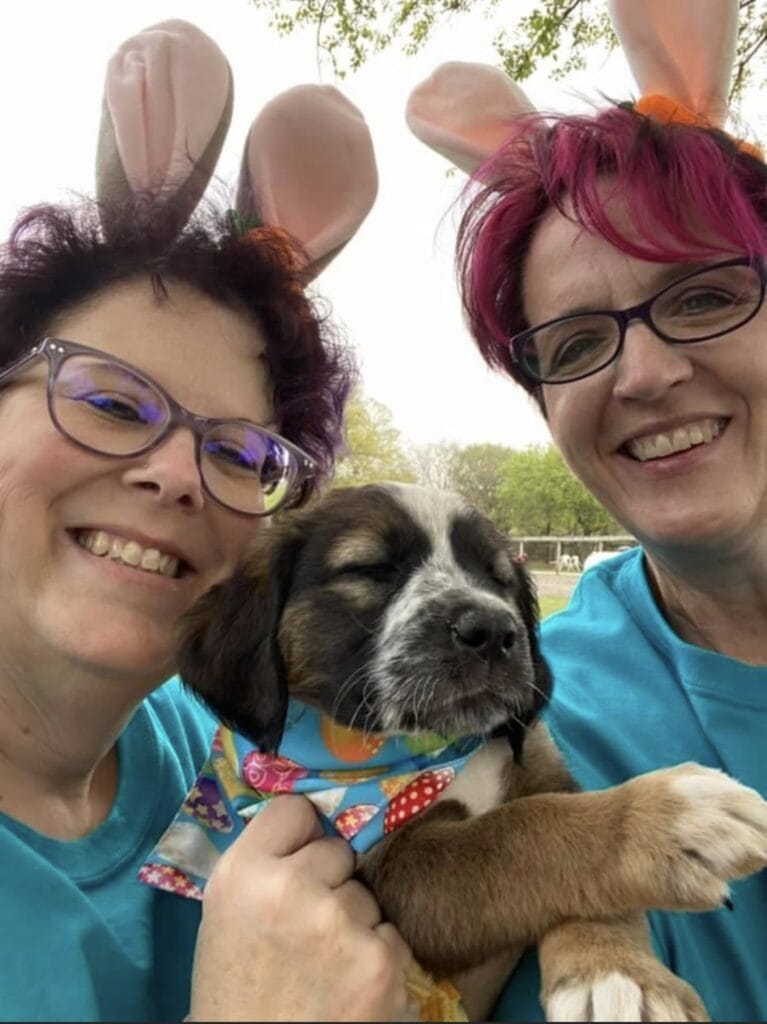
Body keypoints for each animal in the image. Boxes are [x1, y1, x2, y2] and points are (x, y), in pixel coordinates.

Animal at [176, 483, 765, 1019]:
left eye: (499, 578)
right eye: (371, 569)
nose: (495, 630)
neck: (437, 748)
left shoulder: (541, 765)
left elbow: (555, 825)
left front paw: (616, 971)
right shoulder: (395, 870)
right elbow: (523, 832)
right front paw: (662, 816)